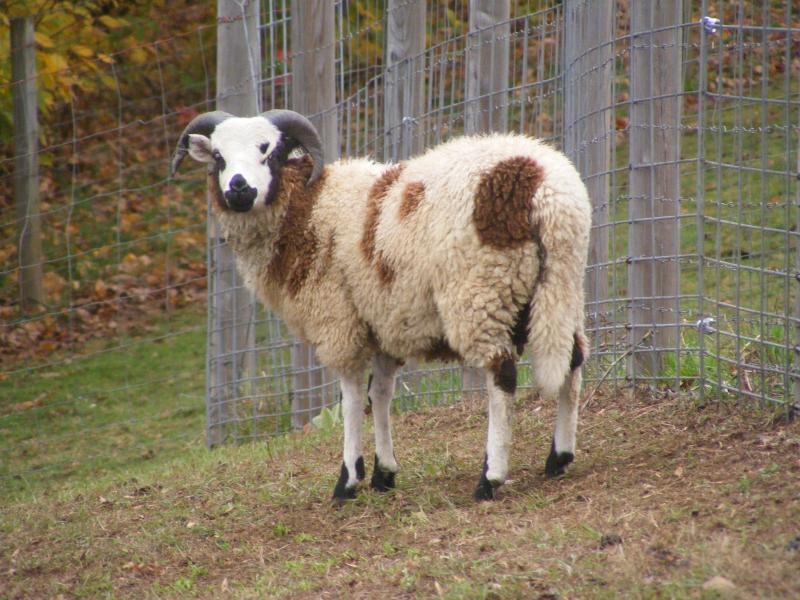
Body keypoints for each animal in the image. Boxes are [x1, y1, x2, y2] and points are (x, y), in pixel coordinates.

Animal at [172, 109, 591, 502]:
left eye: (268, 150)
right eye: (218, 157)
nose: (239, 189)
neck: (307, 209)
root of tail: (544, 185)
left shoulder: (338, 321)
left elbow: (353, 399)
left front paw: (347, 481)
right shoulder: (385, 320)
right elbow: (382, 394)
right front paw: (383, 473)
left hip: (480, 291)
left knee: (501, 373)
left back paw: (491, 478)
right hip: (562, 287)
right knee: (572, 359)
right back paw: (559, 457)